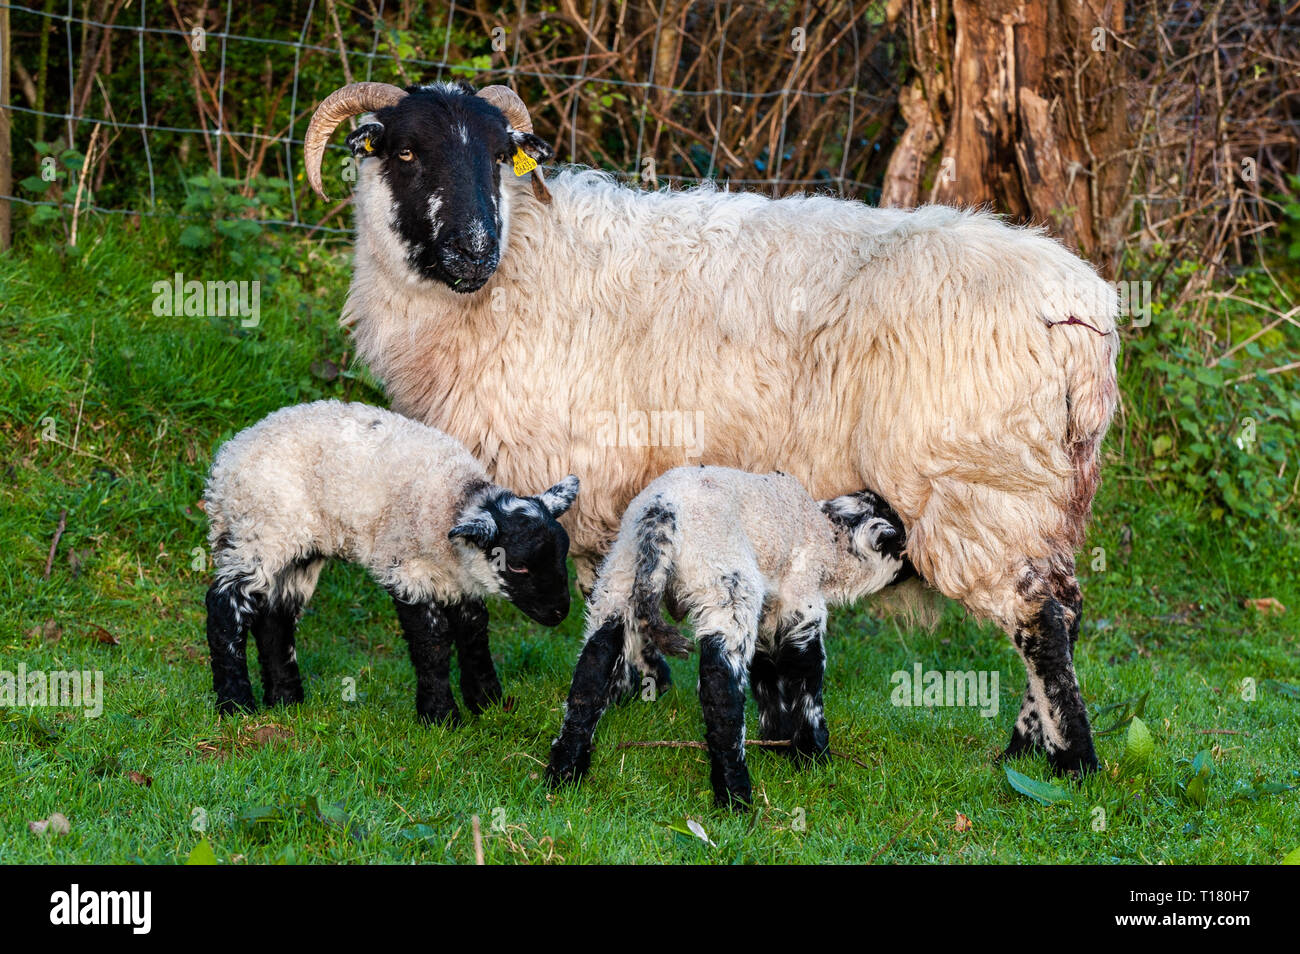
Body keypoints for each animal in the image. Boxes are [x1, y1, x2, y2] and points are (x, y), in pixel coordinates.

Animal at [201, 402, 579, 722]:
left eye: (563, 554)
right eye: (518, 566)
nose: (559, 612)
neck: (454, 501)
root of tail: (225, 464)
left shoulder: (458, 580)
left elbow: (474, 631)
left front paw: (488, 702)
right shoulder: (407, 570)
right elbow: (433, 640)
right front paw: (440, 715)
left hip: (299, 549)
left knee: (275, 617)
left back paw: (285, 699)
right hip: (261, 530)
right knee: (224, 605)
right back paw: (235, 703)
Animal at [543, 467, 909, 811]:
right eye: (900, 545)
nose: (915, 571)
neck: (828, 540)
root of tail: (661, 515)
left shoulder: (769, 610)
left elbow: (766, 671)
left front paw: (776, 740)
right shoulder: (802, 602)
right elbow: (807, 677)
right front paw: (813, 756)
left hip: (619, 578)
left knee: (592, 671)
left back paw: (563, 774)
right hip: (725, 585)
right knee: (720, 687)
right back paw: (735, 795)